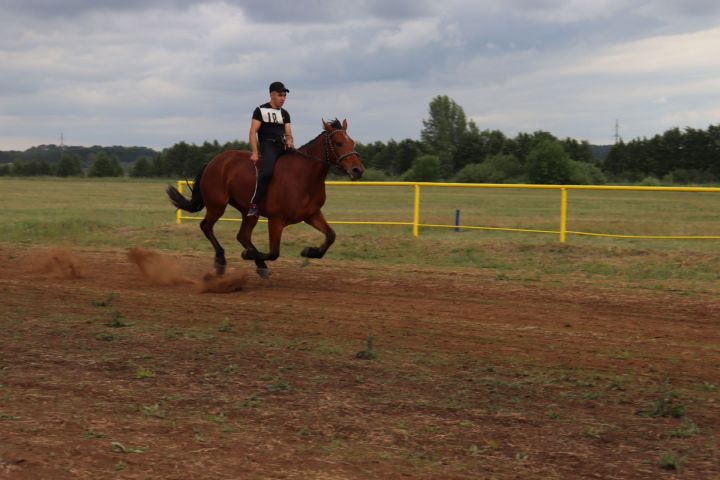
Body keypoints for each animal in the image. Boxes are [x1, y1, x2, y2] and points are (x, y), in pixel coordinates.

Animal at [167, 117, 366, 280]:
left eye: (352, 142)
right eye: (338, 143)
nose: (358, 170)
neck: (303, 176)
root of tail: (212, 162)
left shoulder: (311, 215)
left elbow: (331, 235)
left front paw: (309, 251)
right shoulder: (276, 219)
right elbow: (274, 252)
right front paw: (247, 255)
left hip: (249, 212)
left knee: (242, 235)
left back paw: (258, 265)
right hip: (217, 206)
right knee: (206, 226)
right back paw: (222, 261)